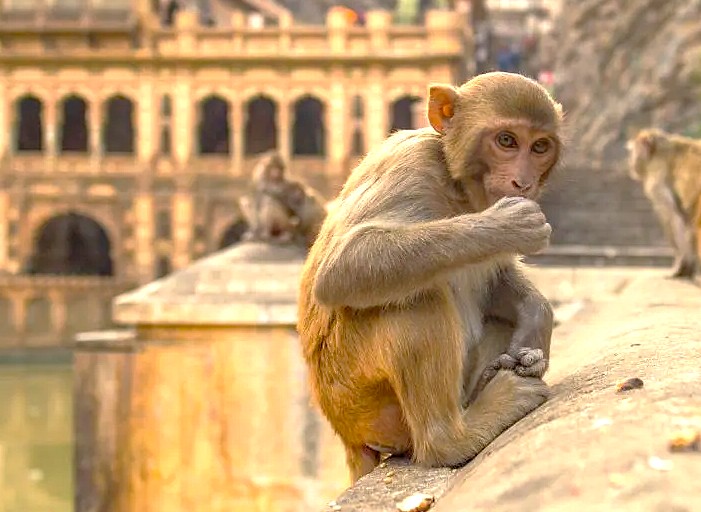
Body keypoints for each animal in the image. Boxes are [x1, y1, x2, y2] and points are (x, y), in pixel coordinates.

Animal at [298, 72, 563, 483]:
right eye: (506, 141)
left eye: (539, 147)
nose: (524, 183)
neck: (457, 187)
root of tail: (346, 433)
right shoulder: (411, 166)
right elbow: (342, 265)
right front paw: (506, 224)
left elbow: (497, 280)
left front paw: (536, 323)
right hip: (360, 398)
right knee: (417, 297)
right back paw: (453, 439)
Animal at [627, 128, 701, 279]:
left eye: (633, 151)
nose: (630, 162)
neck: (658, 150)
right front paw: (687, 269)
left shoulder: (656, 177)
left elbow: (672, 216)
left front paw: (680, 267)